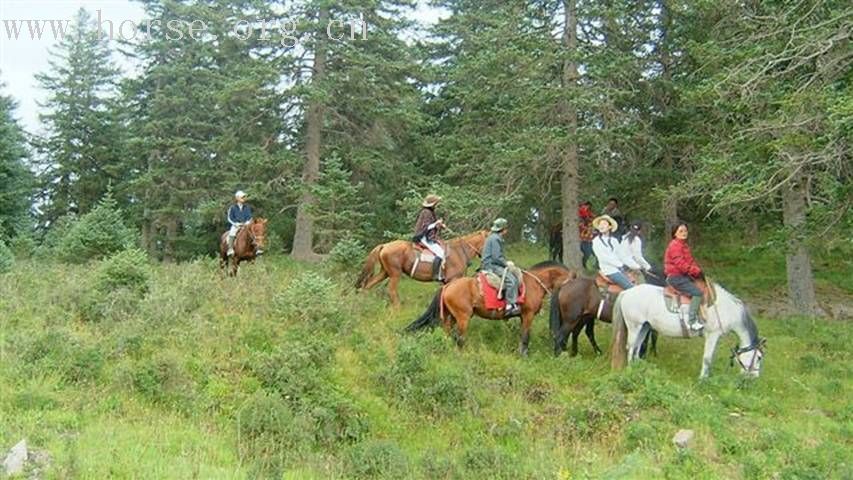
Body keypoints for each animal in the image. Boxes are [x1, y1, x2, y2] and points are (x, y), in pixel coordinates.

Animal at [352, 231, 486, 306]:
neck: (459, 251)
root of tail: (385, 245)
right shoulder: (453, 280)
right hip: (395, 274)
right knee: (391, 290)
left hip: (385, 272)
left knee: (368, 284)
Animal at [404, 262, 572, 356]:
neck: (534, 283)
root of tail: (449, 285)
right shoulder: (528, 315)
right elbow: (525, 336)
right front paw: (524, 355)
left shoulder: (523, 317)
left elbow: (522, 336)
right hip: (463, 317)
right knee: (459, 338)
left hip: (450, 317)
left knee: (447, 334)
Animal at [608, 282, 768, 378]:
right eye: (759, 357)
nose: (754, 378)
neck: (727, 310)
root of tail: (627, 292)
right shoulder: (712, 335)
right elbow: (707, 358)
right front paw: (702, 380)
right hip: (634, 326)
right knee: (630, 347)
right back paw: (629, 369)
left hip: (644, 326)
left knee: (637, 347)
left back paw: (638, 368)